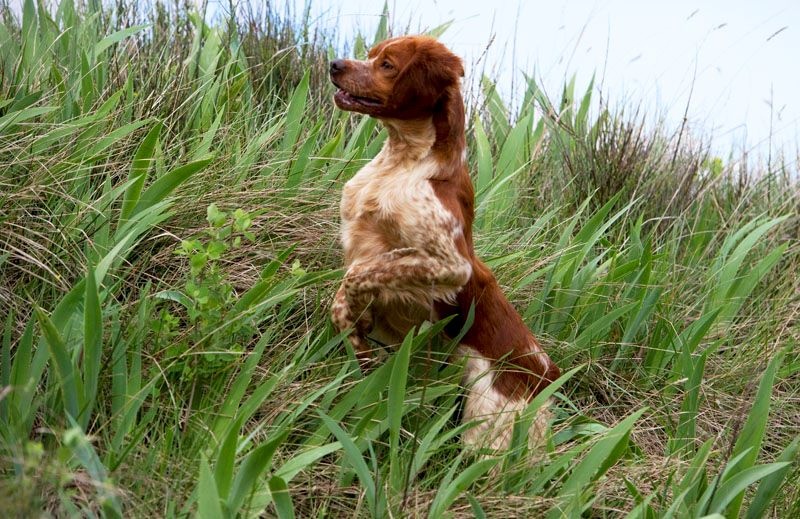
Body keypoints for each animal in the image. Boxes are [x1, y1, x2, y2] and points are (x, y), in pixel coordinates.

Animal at [328, 35, 560, 450]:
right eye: (370, 55)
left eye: (387, 65)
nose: (334, 64)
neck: (402, 164)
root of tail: (548, 380)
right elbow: (342, 300)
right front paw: (359, 337)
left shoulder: (451, 265)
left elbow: (364, 272)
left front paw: (363, 319)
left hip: (485, 418)